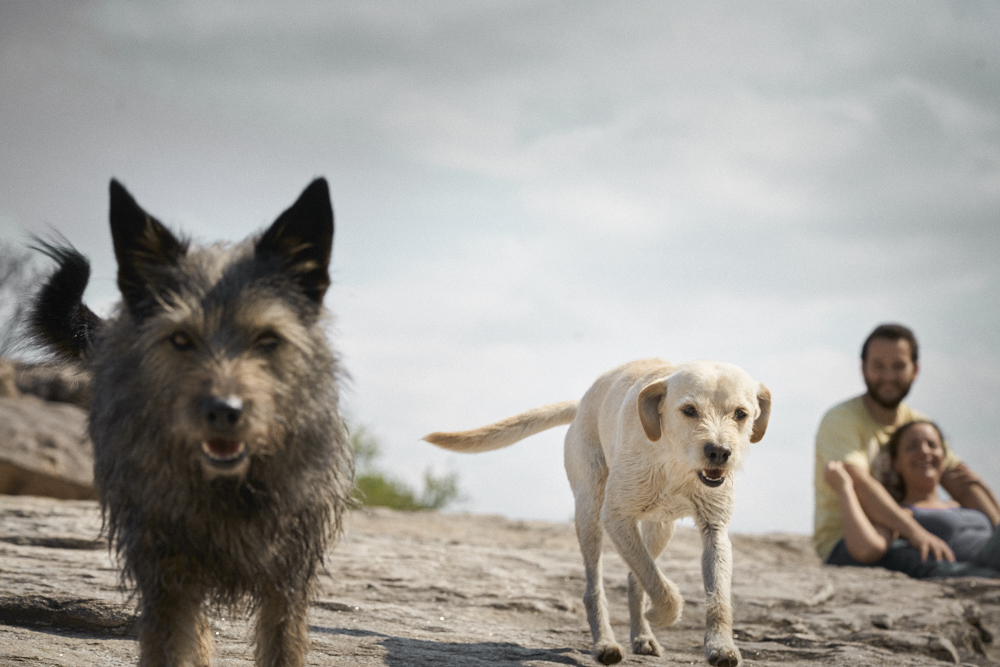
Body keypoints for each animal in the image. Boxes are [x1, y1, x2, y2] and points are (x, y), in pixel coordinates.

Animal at [426, 360, 768, 667]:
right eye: (689, 410)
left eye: (741, 414)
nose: (719, 452)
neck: (673, 461)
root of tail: (581, 404)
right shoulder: (615, 518)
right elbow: (657, 582)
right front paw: (664, 613)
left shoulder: (715, 528)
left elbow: (715, 596)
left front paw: (720, 647)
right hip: (590, 511)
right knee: (596, 588)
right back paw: (605, 643)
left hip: (661, 527)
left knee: (635, 577)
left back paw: (642, 636)